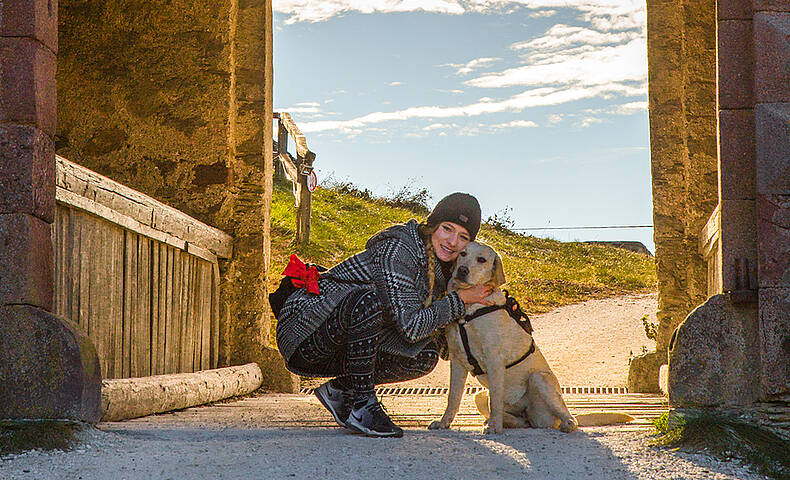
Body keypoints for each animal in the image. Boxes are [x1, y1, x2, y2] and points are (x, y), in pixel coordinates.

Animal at [430, 242, 636, 434]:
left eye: (482, 260)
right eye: (463, 253)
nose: (462, 270)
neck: (470, 311)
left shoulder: (494, 360)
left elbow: (495, 399)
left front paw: (494, 427)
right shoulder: (458, 361)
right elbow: (453, 397)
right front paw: (443, 423)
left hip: (539, 379)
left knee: (569, 419)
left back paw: (562, 424)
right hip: (480, 395)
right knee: (517, 419)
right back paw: (503, 421)